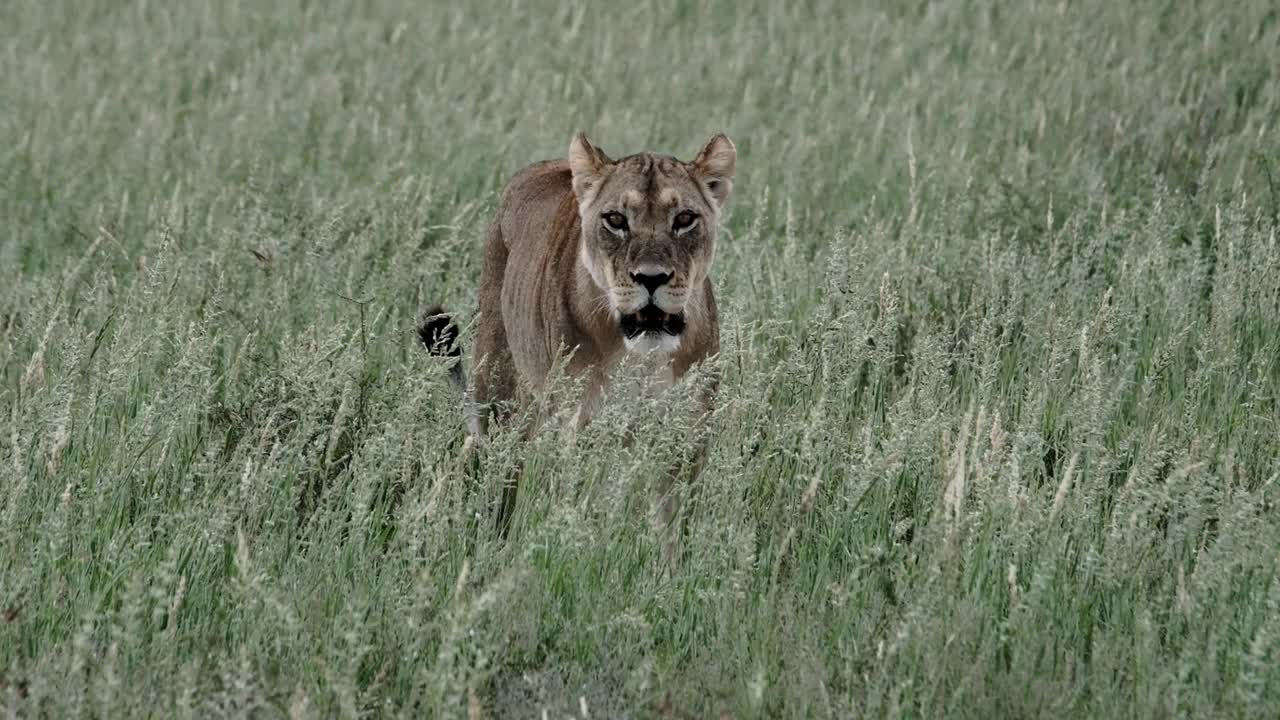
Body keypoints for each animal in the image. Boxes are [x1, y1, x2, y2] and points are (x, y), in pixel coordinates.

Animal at [419, 131, 736, 554]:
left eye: (684, 219)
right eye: (616, 220)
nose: (651, 277)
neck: (641, 356)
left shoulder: (687, 431)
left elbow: (674, 528)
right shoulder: (579, 428)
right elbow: (580, 514)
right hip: (501, 397)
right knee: (497, 473)